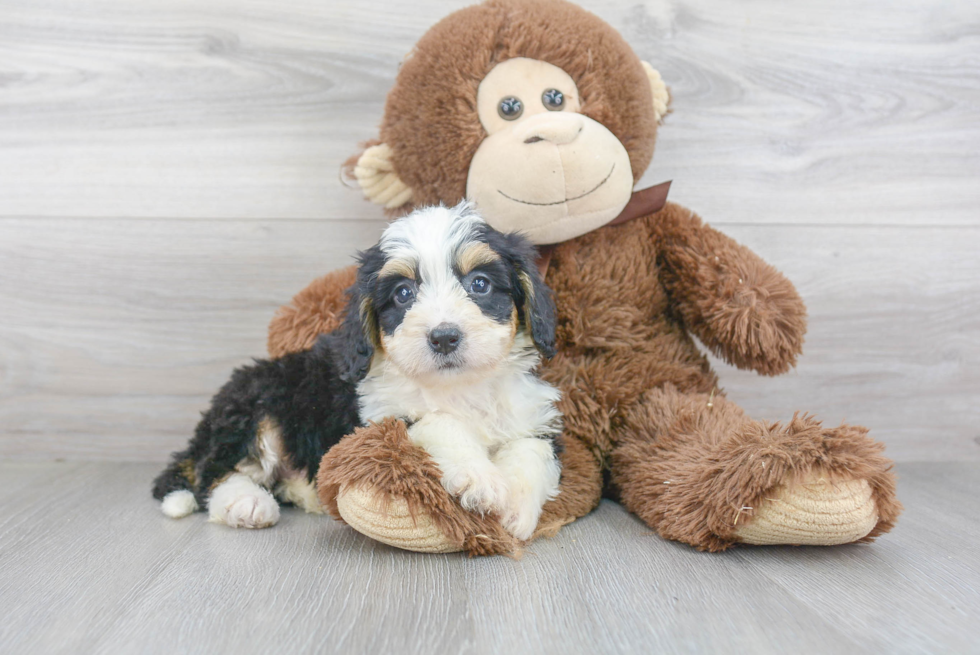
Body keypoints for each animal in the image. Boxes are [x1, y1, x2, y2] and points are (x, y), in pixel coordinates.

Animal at [150, 202, 564, 540]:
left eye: (480, 284)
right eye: (403, 293)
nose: (444, 337)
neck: (459, 386)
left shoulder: (533, 415)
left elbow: (534, 450)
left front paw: (516, 506)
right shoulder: (381, 418)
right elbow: (440, 423)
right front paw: (481, 479)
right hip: (256, 404)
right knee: (214, 472)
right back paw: (246, 503)